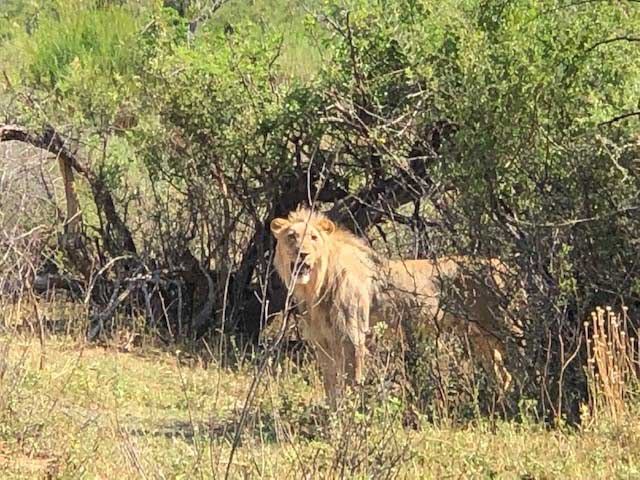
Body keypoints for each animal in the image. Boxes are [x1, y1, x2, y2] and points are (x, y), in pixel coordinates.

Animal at [268, 206, 516, 404]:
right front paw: (332, 417)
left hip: (503, 328)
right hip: (478, 337)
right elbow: (331, 385)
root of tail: (505, 266)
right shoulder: (323, 341)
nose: (302, 253)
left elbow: (350, 382)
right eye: (292, 236)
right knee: (503, 376)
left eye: (313, 237)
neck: (315, 286)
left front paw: (350, 416)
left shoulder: (352, 336)